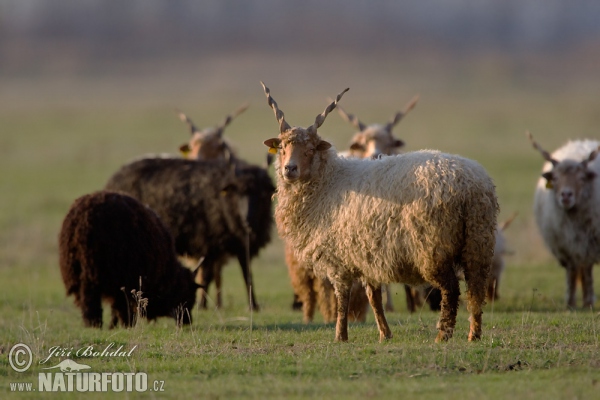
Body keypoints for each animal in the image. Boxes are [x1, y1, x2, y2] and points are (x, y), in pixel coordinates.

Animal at [58, 191, 200, 328]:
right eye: (187, 293)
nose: (186, 322)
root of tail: (82, 220)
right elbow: (122, 306)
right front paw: (126, 324)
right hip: (100, 271)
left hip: (79, 271)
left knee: (88, 300)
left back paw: (93, 324)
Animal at [260, 83, 500, 342]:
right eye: (282, 147)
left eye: (311, 148)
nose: (290, 169)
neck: (327, 180)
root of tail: (470, 186)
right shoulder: (366, 255)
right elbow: (373, 297)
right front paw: (385, 334)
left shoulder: (339, 258)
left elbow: (342, 297)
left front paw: (340, 335)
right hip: (478, 242)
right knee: (476, 290)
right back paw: (474, 334)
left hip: (434, 247)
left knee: (451, 289)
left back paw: (442, 336)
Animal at [528, 133, 596, 308]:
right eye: (556, 178)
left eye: (581, 178)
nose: (566, 195)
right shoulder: (565, 246)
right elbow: (572, 272)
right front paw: (570, 304)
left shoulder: (588, 243)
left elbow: (586, 270)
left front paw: (587, 302)